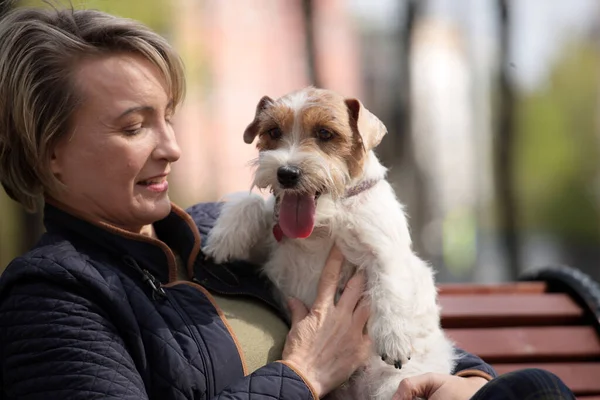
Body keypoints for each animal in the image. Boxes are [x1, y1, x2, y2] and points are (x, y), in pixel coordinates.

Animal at [204, 87, 458, 400]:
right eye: (273, 131)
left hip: (391, 386)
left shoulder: (384, 249)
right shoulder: (270, 247)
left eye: (325, 133)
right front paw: (221, 239)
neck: (324, 222)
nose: (286, 173)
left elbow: (388, 285)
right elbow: (250, 203)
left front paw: (394, 338)